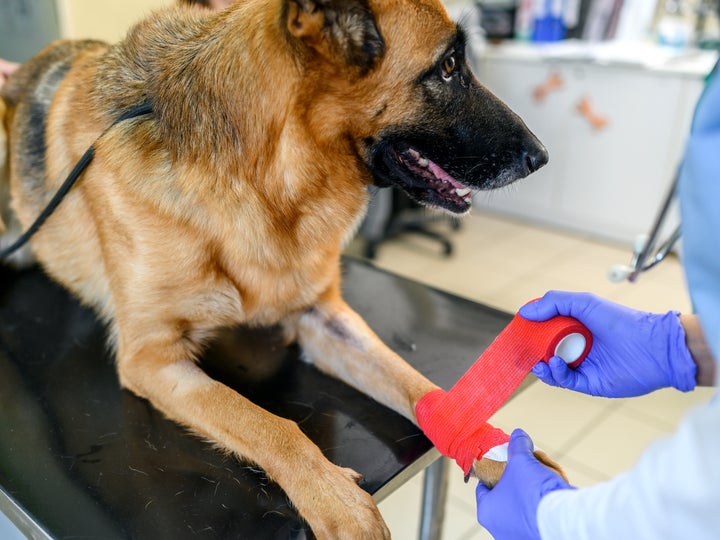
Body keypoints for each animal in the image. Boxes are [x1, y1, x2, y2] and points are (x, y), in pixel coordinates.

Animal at [1, 0, 552, 532]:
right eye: (449, 67)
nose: (542, 157)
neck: (265, 186)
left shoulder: (322, 319)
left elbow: (414, 381)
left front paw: (496, 454)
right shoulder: (152, 359)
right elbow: (266, 423)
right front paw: (337, 500)